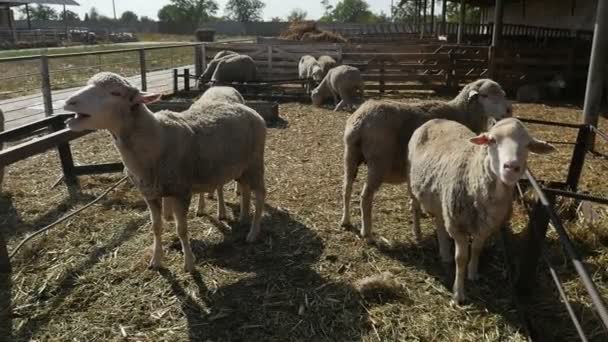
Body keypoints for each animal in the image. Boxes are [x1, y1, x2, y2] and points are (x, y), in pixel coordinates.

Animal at [62, 73, 268, 272]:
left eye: (115, 93)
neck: (156, 139)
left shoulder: (180, 191)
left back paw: (253, 232)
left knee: (260, 194)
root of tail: (250, 109)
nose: (69, 102)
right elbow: (156, 227)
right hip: (241, 166)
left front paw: (189, 263)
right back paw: (243, 218)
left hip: (255, 161)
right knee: (245, 188)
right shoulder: (150, 194)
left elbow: (181, 229)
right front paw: (156, 260)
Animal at [342, 80, 512, 240]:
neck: (462, 112)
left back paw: (345, 221)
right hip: (378, 162)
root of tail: (360, 121)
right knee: (365, 196)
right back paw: (367, 233)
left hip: (350, 155)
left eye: (503, 94)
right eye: (485, 95)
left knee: (346, 188)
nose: (509, 110)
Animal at [408, 118, 556, 304]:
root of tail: (436, 119)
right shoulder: (458, 226)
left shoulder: (486, 226)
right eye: (492, 140)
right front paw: (458, 294)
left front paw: (473, 273)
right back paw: (418, 234)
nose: (511, 167)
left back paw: (444, 253)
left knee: (440, 221)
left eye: (528, 145)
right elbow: (461, 258)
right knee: (415, 207)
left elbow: (477, 249)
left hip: (441, 199)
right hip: (413, 184)